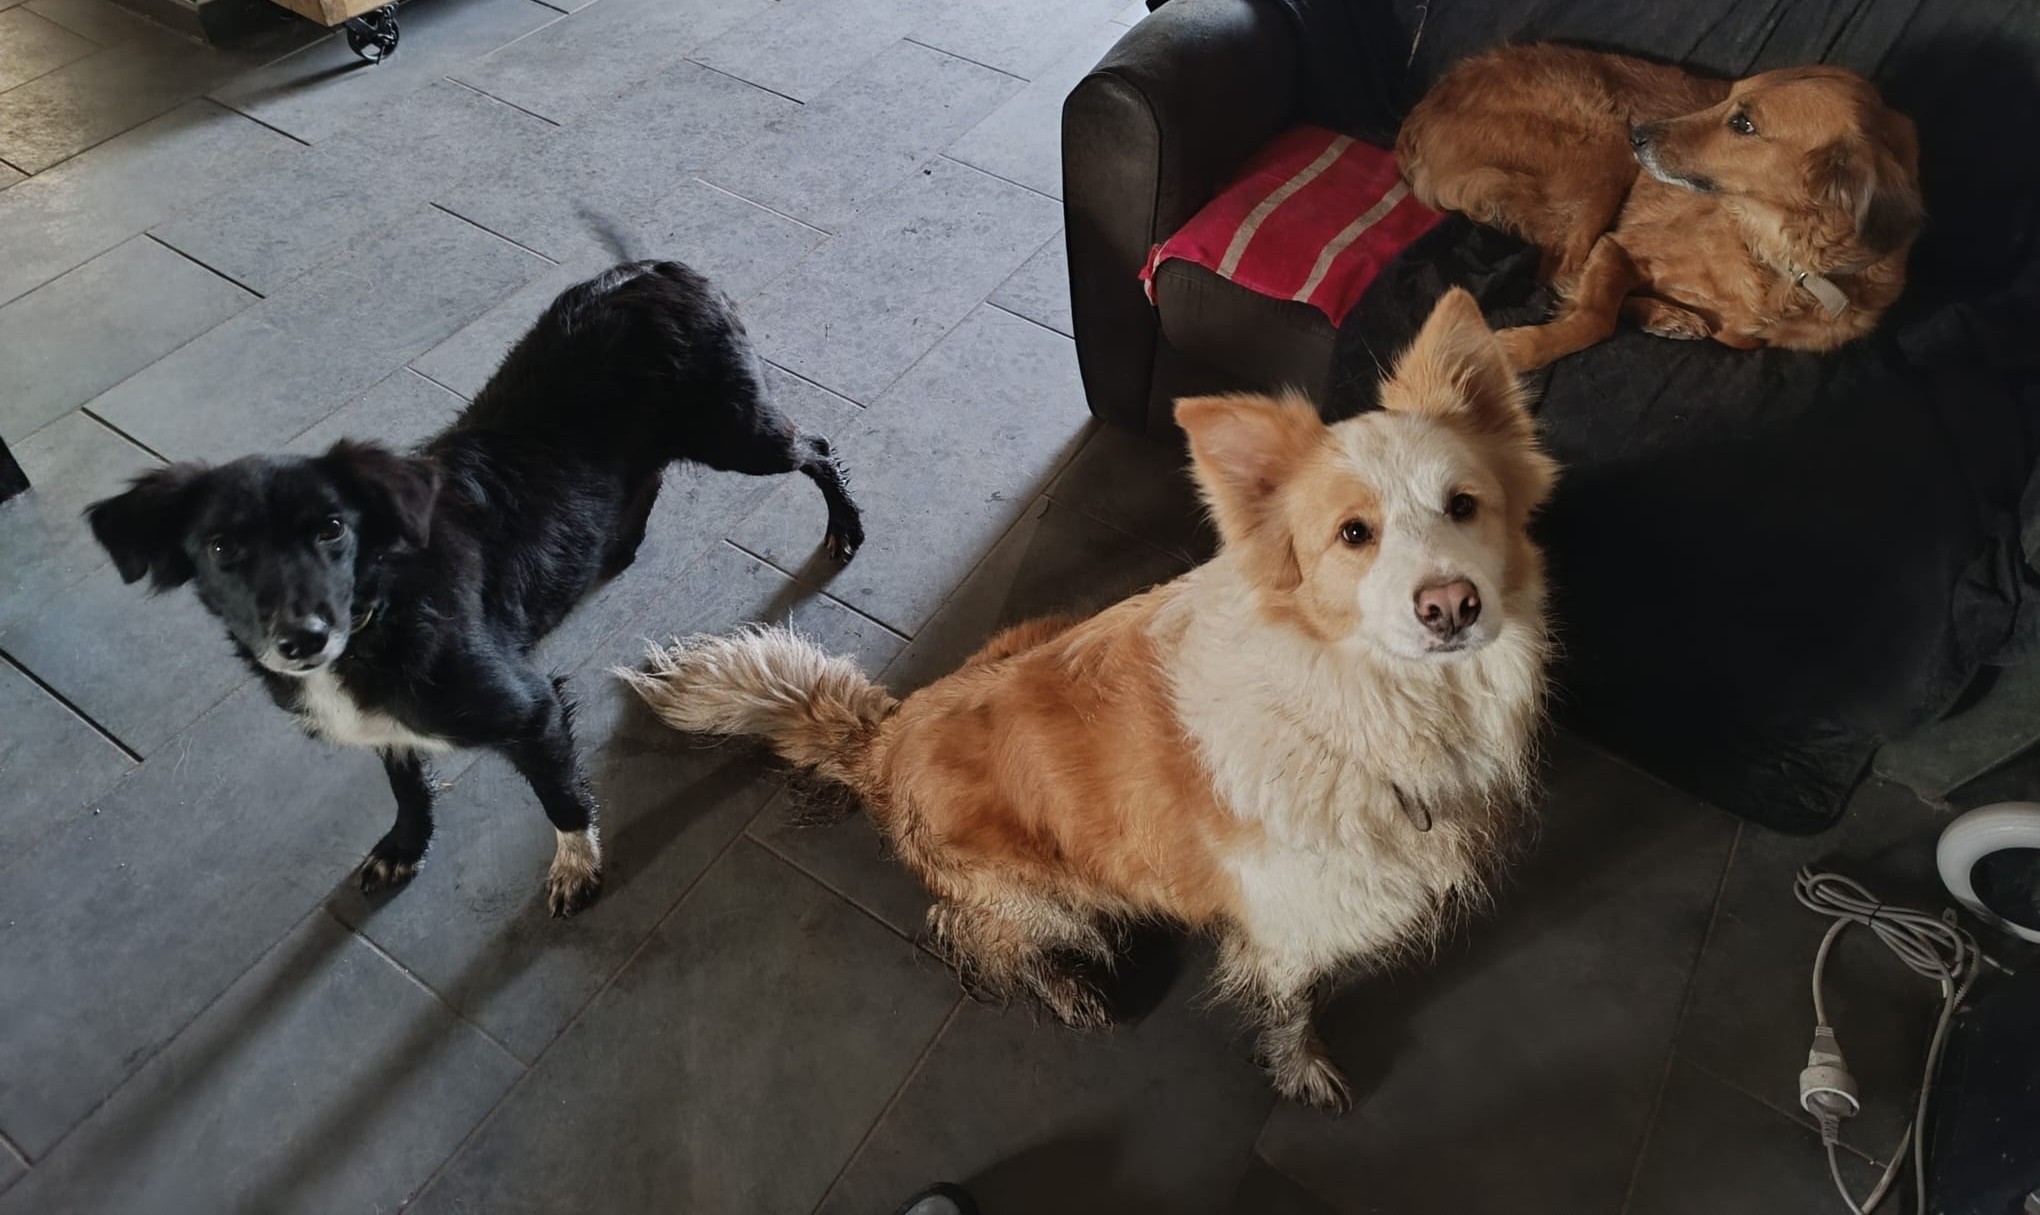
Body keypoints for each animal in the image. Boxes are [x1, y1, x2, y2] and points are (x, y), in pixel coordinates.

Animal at [86, 259, 864, 917]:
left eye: (333, 528)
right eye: (223, 549)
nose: (301, 639)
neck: (381, 611)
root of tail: (660, 266)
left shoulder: (531, 708)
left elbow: (560, 796)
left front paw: (576, 866)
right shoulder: (387, 721)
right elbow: (404, 780)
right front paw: (405, 845)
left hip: (736, 433)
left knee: (818, 448)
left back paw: (844, 528)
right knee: (646, 478)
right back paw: (614, 547)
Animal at [619, 288, 1553, 1108]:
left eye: (1464, 506)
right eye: (1354, 534)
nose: (1452, 605)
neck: (1364, 705)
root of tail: (884, 737)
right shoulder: (1285, 917)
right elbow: (1290, 1006)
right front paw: (1301, 1068)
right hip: (1041, 895)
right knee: (971, 934)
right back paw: (1064, 988)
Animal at [1396, 44, 1924, 369]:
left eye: (1744, 124)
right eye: (1730, 98)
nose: (1639, 134)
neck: (1779, 260)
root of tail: (1424, 108)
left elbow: (1733, 334)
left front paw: (1667, 314)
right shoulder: (1617, 245)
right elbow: (1594, 318)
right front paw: (1520, 349)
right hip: (1602, 150)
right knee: (1558, 269)